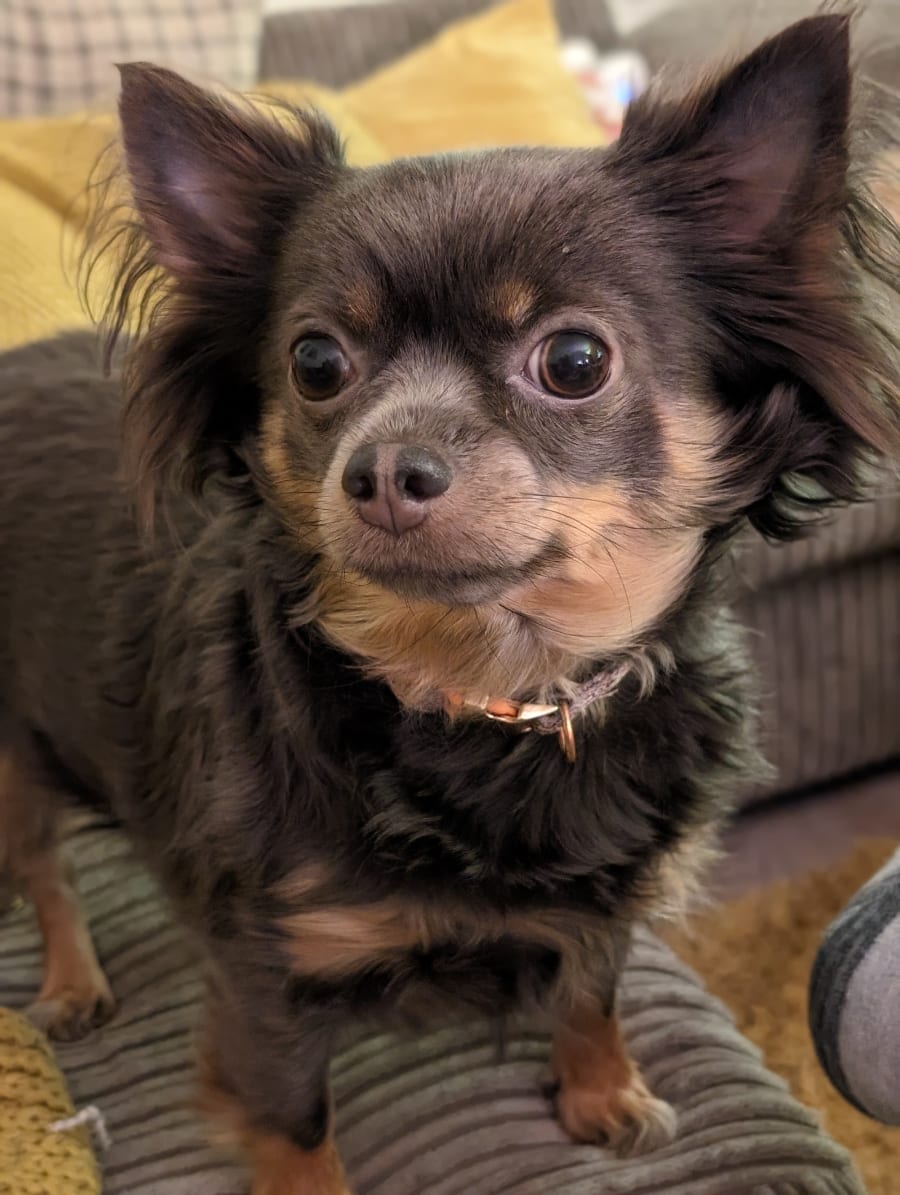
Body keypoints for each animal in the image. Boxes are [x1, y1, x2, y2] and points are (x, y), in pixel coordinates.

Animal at [0, 11, 894, 1195]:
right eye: (316, 362)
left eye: (575, 359)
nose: (381, 470)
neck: (494, 692)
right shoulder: (270, 981)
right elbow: (299, 1133)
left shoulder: (608, 897)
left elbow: (592, 988)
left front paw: (601, 1091)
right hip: (15, 762)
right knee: (45, 871)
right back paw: (70, 982)